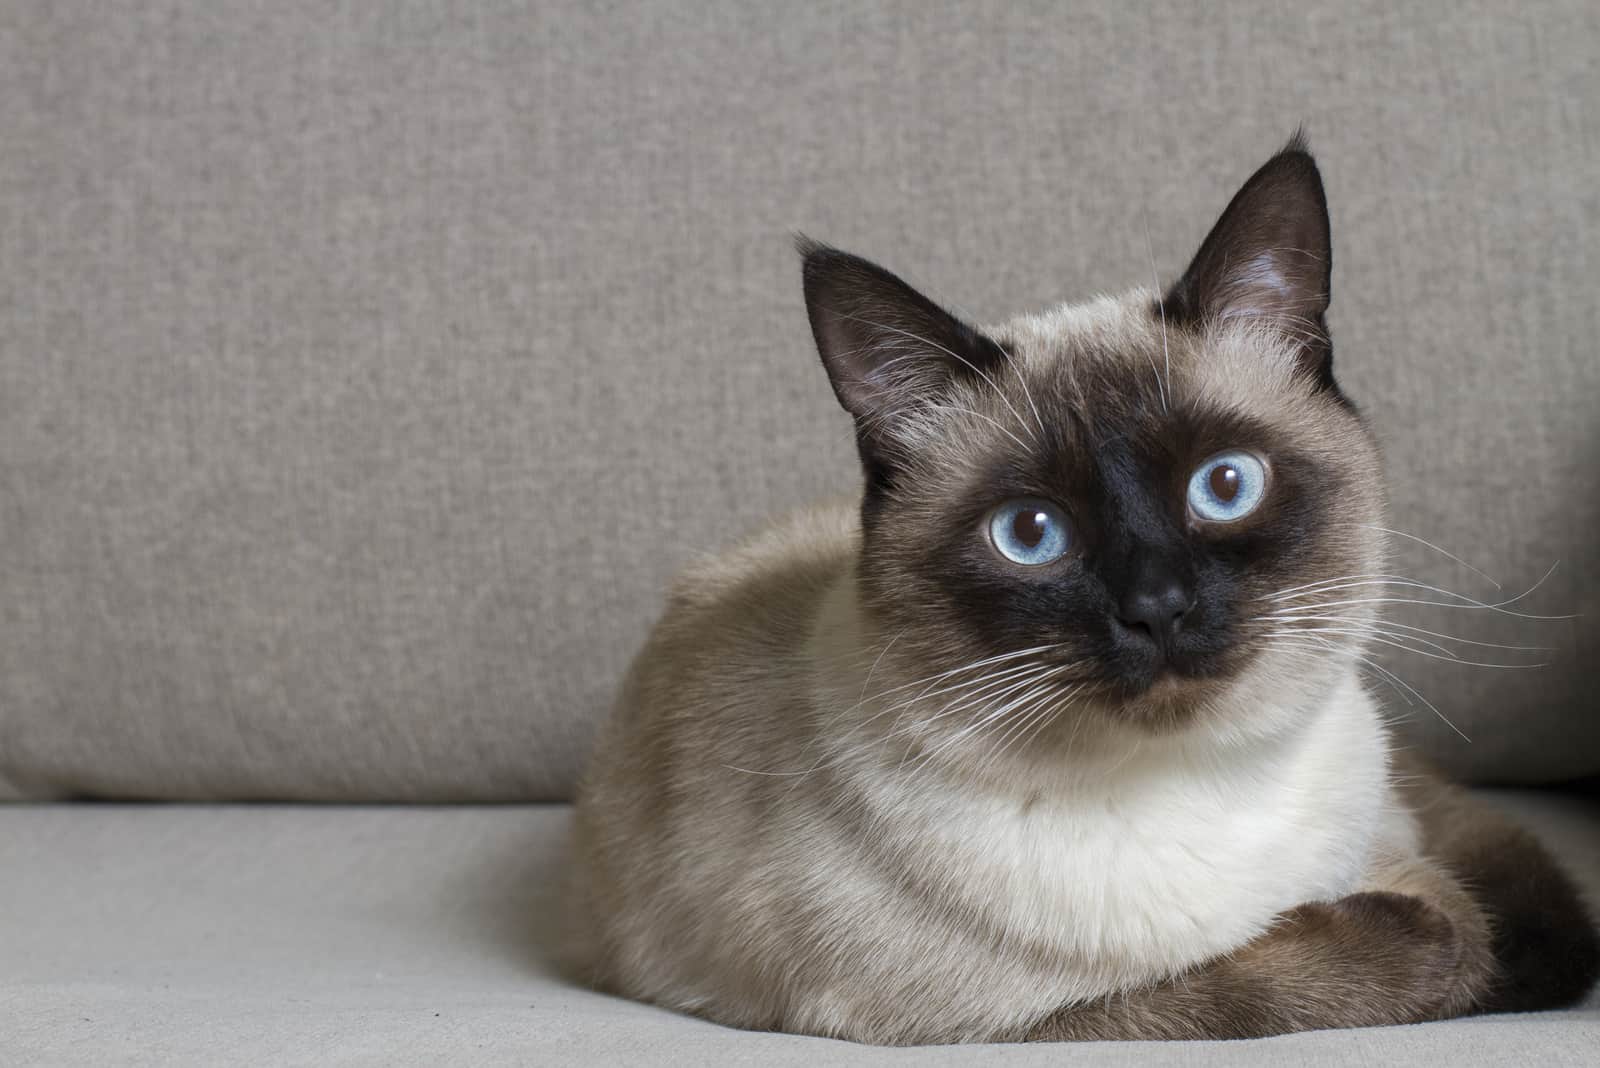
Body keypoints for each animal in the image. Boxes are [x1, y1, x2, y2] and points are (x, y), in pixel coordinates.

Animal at [569, 139, 1593, 1042]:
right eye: (1031, 534)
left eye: (1225, 485)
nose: (1159, 607)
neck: (1198, 783)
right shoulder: (1006, 1020)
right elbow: (1387, 953)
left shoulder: (1391, 839)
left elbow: (1459, 910)